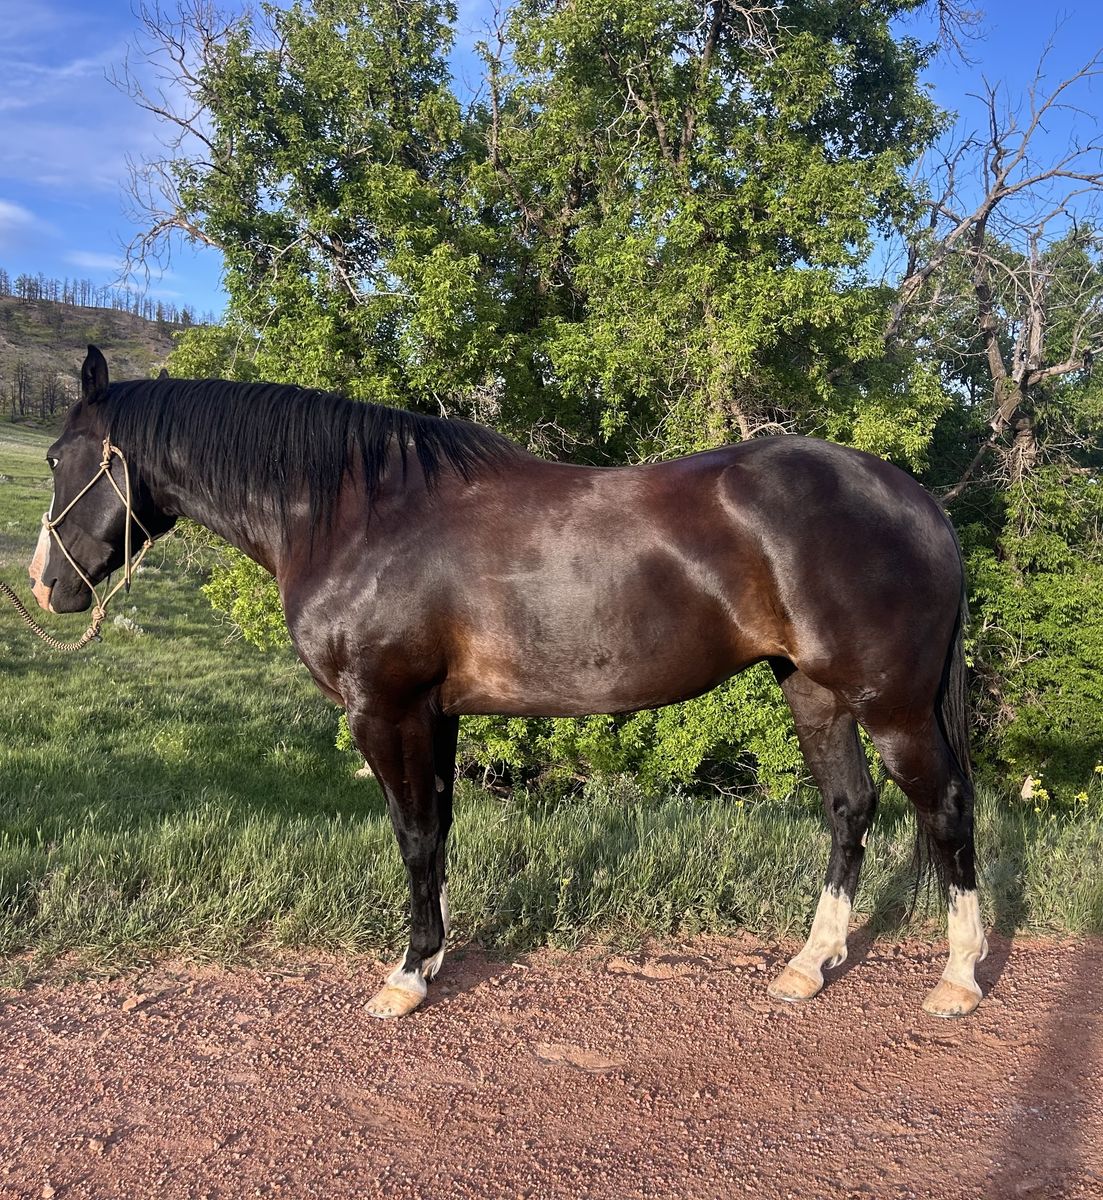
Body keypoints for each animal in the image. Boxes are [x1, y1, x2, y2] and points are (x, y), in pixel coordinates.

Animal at [29, 346, 986, 1020]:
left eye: (57, 458)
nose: (45, 586)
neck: (358, 516)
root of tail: (917, 502)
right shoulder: (436, 712)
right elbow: (439, 830)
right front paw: (434, 955)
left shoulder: (385, 710)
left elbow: (413, 834)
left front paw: (405, 977)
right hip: (812, 692)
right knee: (848, 809)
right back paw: (807, 967)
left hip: (892, 706)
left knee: (944, 811)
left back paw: (958, 979)